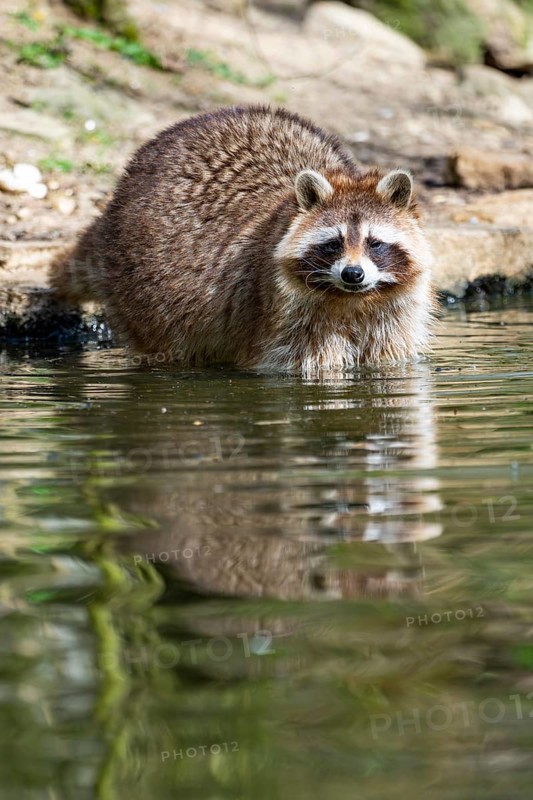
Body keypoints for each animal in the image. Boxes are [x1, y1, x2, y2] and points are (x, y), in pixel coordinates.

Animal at [54, 105, 434, 373]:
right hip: (141, 289)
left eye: (375, 243)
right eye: (333, 244)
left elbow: (389, 358)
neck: (352, 301)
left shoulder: (394, 314)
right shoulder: (278, 310)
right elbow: (304, 365)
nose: (352, 274)